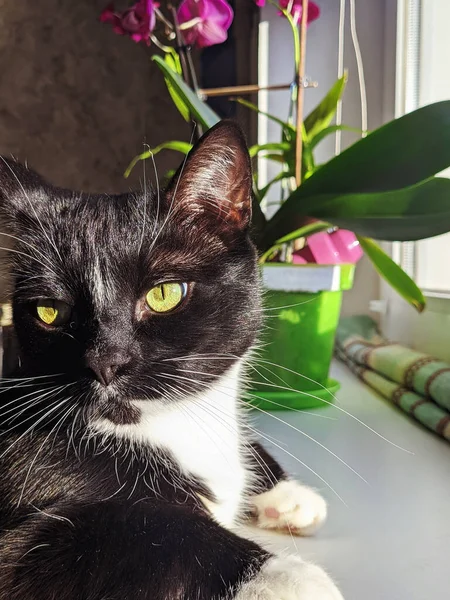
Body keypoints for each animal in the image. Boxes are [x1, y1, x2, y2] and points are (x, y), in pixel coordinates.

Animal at [0, 122, 342, 600]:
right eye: (52, 311)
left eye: (165, 294)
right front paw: (292, 577)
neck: (165, 426)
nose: (105, 361)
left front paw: (287, 495)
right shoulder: (33, 516)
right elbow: (161, 534)